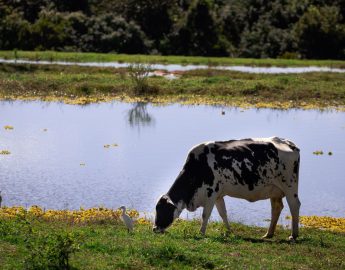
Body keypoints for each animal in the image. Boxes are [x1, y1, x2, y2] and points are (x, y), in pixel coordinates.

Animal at [152, 137, 300, 240]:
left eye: (164, 210)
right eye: (156, 209)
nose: (154, 228)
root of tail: (289, 143)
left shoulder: (211, 193)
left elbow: (205, 215)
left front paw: (201, 233)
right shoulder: (218, 195)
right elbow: (223, 213)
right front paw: (229, 232)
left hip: (290, 186)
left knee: (294, 206)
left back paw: (293, 235)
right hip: (274, 190)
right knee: (276, 208)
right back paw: (268, 234)